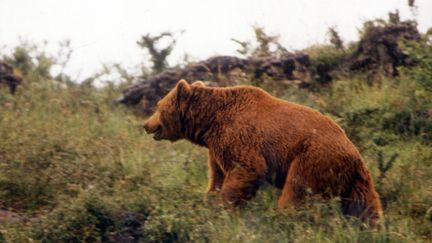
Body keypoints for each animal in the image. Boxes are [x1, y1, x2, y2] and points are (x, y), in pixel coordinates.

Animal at [143, 79, 384, 224]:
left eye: (158, 106)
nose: (146, 124)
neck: (210, 123)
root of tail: (354, 156)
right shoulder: (217, 147)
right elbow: (218, 175)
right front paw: (208, 202)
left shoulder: (238, 136)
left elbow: (246, 169)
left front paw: (225, 208)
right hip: (357, 180)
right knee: (366, 206)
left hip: (313, 157)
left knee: (296, 190)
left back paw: (283, 218)